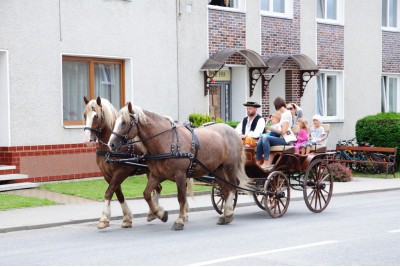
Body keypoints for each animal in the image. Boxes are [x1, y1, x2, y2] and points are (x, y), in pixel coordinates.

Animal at [83, 97, 162, 229]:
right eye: (84, 115)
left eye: (96, 116)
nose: (87, 140)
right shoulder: (107, 174)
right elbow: (118, 193)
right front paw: (127, 218)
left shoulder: (121, 171)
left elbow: (109, 192)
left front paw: (104, 219)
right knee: (158, 188)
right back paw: (152, 212)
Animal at [108, 102, 248, 230]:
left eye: (124, 122)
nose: (111, 144)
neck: (165, 141)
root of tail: (233, 131)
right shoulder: (156, 175)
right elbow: (147, 194)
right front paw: (161, 214)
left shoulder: (180, 175)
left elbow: (181, 198)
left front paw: (180, 220)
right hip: (217, 169)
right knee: (225, 189)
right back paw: (225, 214)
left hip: (229, 166)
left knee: (233, 186)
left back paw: (228, 213)